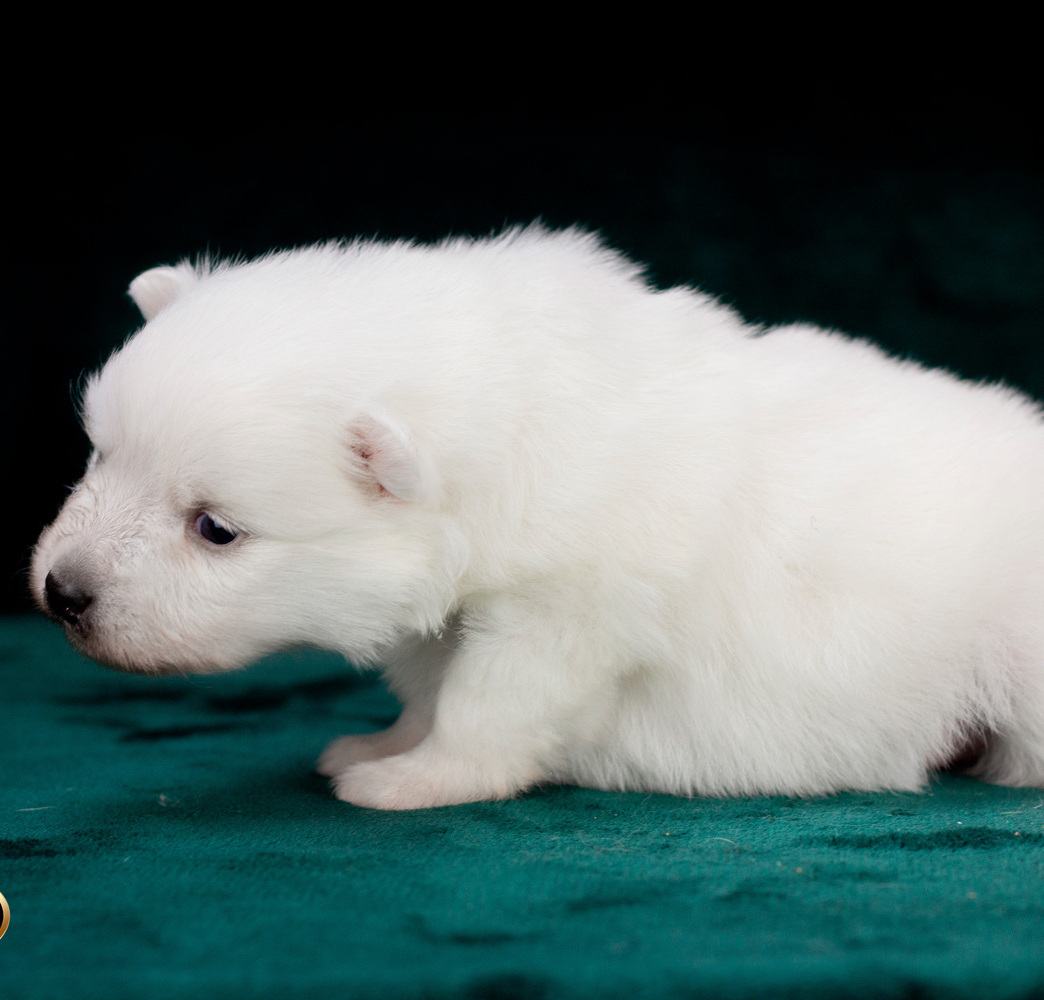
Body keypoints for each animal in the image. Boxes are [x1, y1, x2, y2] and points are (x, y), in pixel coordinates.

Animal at [31, 225, 1044, 809]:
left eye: (215, 527)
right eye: (99, 454)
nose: (62, 593)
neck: (518, 420)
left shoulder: (566, 612)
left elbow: (489, 701)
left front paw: (409, 781)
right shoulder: (455, 614)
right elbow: (432, 687)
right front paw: (382, 742)